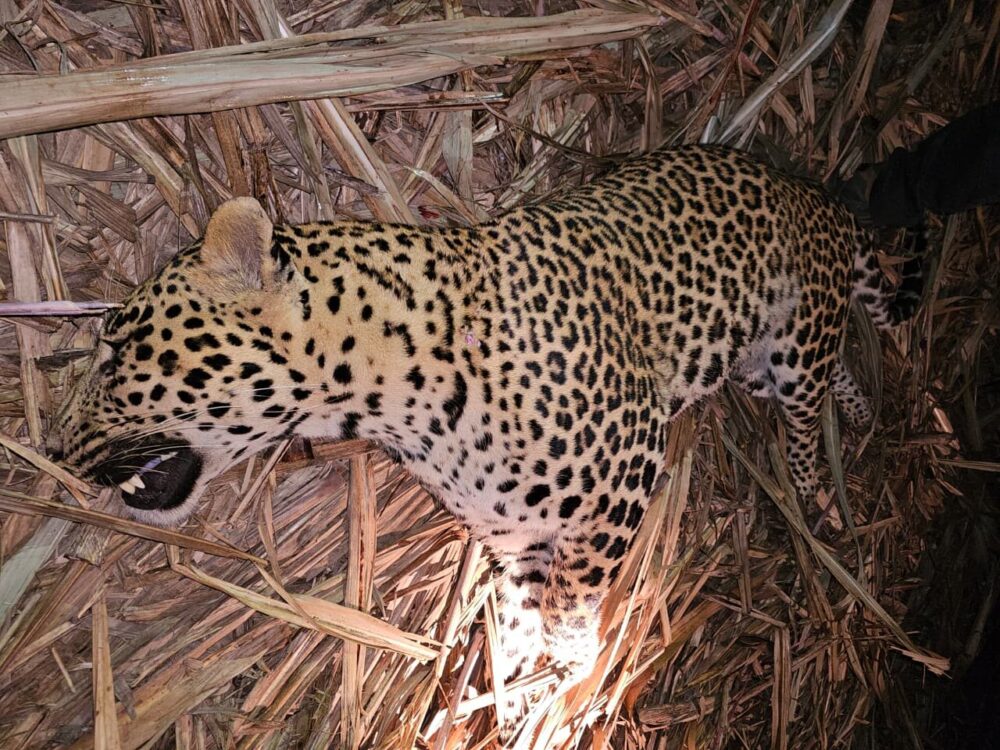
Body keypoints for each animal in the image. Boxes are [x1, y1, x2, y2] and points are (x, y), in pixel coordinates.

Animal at [50, 144, 921, 741]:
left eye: (118, 351)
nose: (55, 450)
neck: (390, 400)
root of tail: (814, 194)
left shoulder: (624, 472)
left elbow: (572, 609)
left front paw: (569, 677)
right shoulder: (514, 534)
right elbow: (519, 615)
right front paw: (514, 694)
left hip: (792, 340)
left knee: (809, 407)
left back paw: (816, 491)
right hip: (758, 363)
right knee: (836, 368)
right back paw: (860, 412)